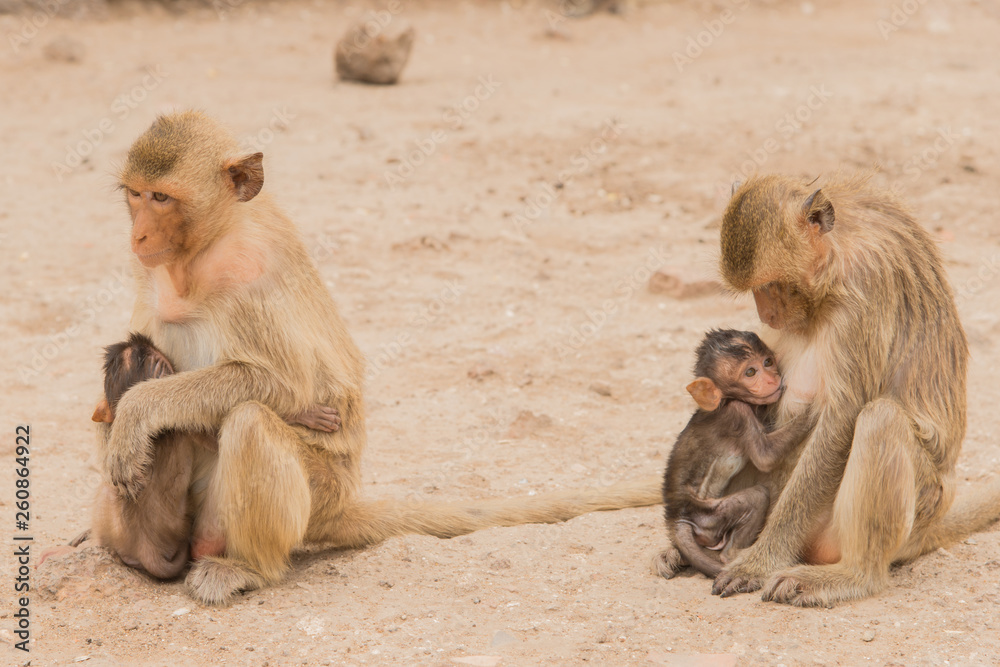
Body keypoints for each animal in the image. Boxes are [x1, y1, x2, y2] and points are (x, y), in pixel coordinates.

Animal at [654, 329, 815, 579]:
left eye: (767, 362)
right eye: (750, 372)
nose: (772, 379)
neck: (726, 400)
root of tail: (676, 518)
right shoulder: (738, 413)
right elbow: (765, 457)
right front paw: (815, 409)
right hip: (709, 518)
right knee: (757, 497)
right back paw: (731, 556)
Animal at [708, 173, 1000, 607]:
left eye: (774, 284)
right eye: (757, 290)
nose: (766, 312)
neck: (839, 249)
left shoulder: (865, 286)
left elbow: (843, 418)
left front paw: (761, 560)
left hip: (915, 511)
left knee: (881, 418)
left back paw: (855, 575)